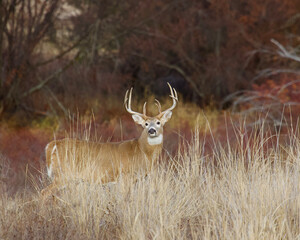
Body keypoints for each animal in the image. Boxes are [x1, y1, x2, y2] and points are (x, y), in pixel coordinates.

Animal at [42, 83, 178, 194]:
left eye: (158, 122)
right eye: (145, 124)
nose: (151, 130)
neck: (142, 151)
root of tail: (52, 145)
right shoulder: (126, 175)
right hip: (63, 174)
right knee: (44, 193)